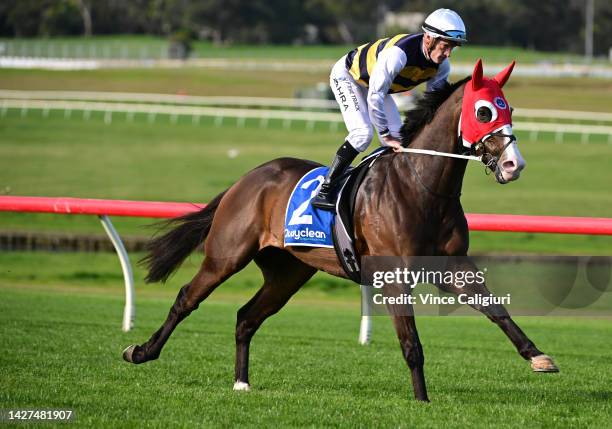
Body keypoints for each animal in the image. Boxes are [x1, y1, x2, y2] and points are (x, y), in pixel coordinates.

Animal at [122, 60, 556, 402]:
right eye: (483, 112)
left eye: (509, 108)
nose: (514, 164)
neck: (421, 186)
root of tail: (247, 178)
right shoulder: (394, 277)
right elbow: (411, 343)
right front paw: (422, 400)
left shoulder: (451, 267)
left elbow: (495, 308)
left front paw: (537, 355)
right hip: (225, 256)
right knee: (186, 299)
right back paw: (141, 351)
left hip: (288, 271)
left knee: (247, 316)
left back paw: (241, 382)